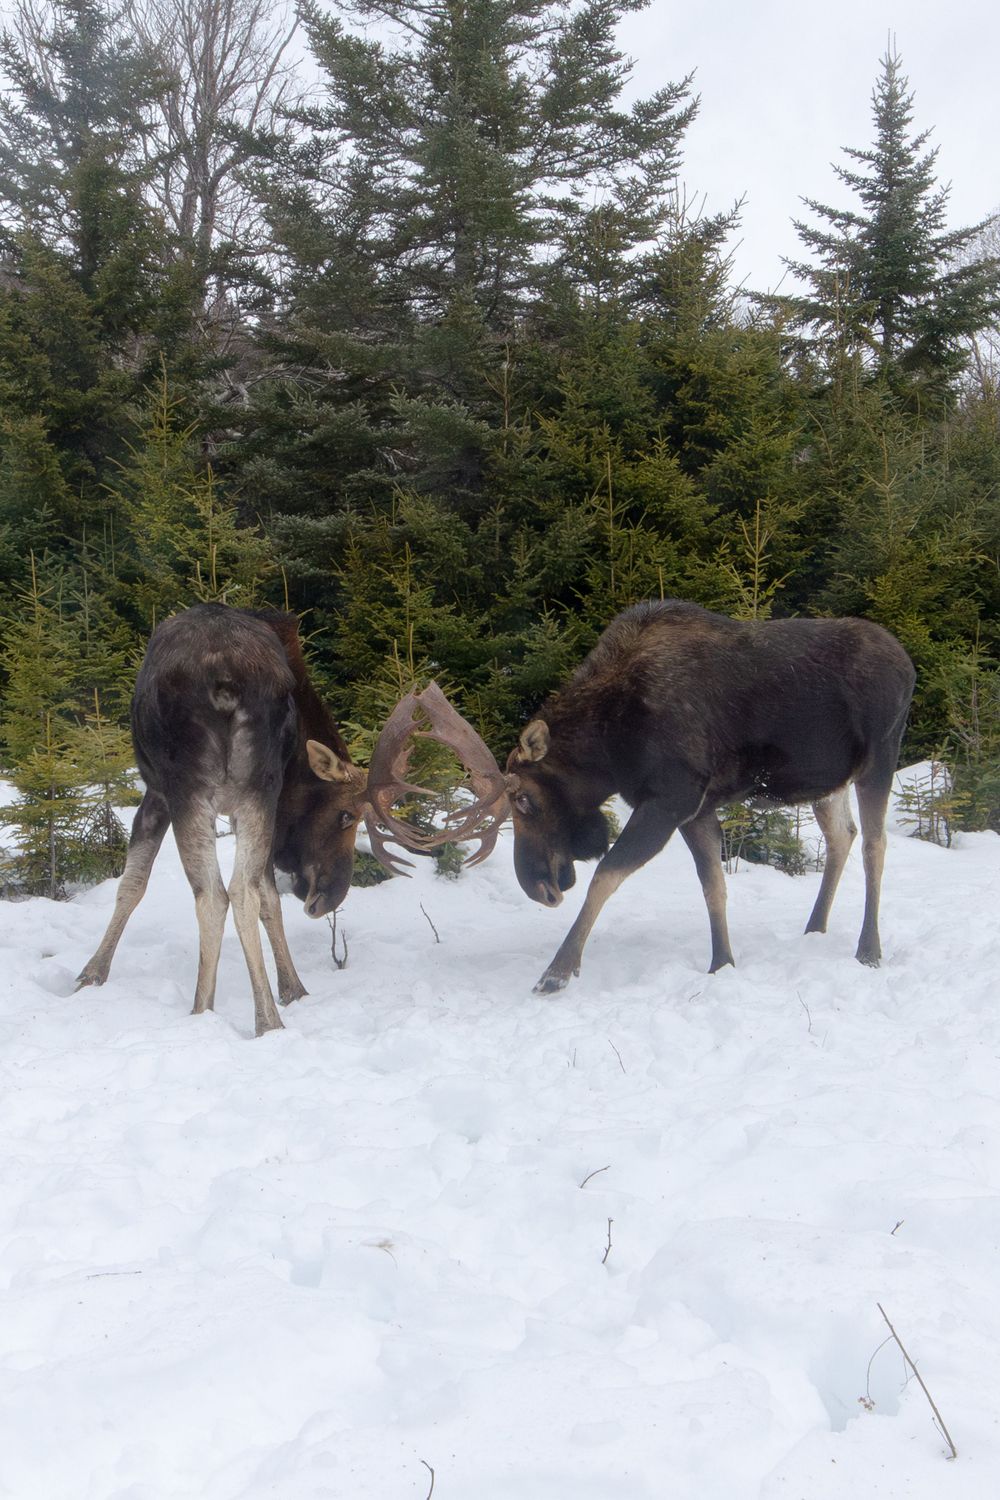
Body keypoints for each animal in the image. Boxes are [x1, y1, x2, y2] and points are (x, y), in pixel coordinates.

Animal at [76, 604, 433, 1036]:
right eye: (347, 815)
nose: (330, 897)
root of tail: (226, 681)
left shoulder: (157, 793)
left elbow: (131, 885)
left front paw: (92, 972)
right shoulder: (263, 805)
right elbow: (268, 901)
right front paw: (292, 988)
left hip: (189, 790)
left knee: (214, 895)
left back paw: (205, 1011)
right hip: (255, 791)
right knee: (243, 893)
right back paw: (267, 1018)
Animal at [383, 601, 916, 995]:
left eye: (525, 801)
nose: (537, 887)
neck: (611, 744)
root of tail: (909, 663)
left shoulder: (670, 799)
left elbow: (606, 875)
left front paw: (557, 971)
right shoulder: (696, 807)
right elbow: (713, 885)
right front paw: (722, 963)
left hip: (881, 756)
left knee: (876, 845)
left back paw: (869, 950)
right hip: (828, 781)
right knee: (842, 836)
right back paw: (814, 929)